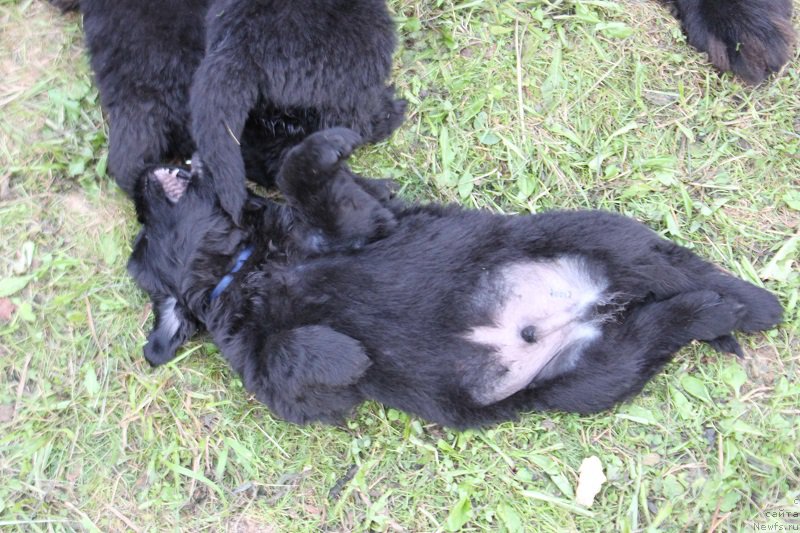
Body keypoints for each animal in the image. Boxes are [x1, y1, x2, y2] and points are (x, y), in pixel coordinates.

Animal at [128, 129, 784, 428]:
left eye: (139, 229)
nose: (146, 169)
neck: (247, 267)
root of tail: (596, 308)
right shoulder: (291, 390)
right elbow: (294, 356)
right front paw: (347, 355)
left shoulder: (355, 223)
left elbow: (298, 167)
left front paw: (331, 142)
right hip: (594, 377)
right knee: (664, 322)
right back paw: (715, 313)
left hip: (598, 235)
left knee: (676, 264)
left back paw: (756, 305)